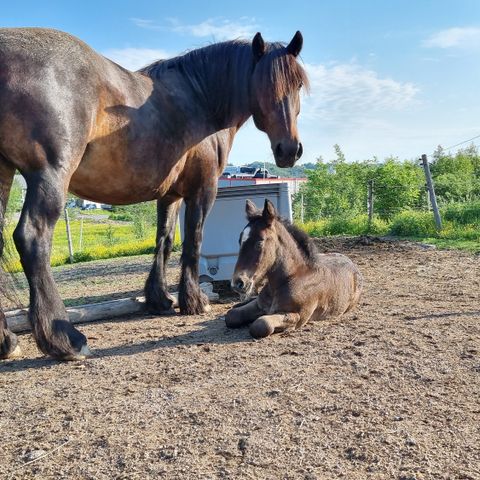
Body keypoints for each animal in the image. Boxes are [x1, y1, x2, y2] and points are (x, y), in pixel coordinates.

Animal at [0, 28, 308, 358]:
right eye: (265, 83)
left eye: (297, 85)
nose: (290, 150)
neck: (200, 98)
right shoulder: (202, 190)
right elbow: (193, 241)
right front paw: (194, 301)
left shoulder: (169, 195)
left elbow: (165, 241)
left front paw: (160, 299)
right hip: (50, 175)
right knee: (33, 239)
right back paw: (65, 338)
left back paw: (7, 341)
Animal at [227, 199, 362, 338]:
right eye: (239, 241)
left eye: (259, 242)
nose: (237, 283)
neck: (292, 277)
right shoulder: (259, 304)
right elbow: (231, 316)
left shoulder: (298, 316)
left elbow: (261, 324)